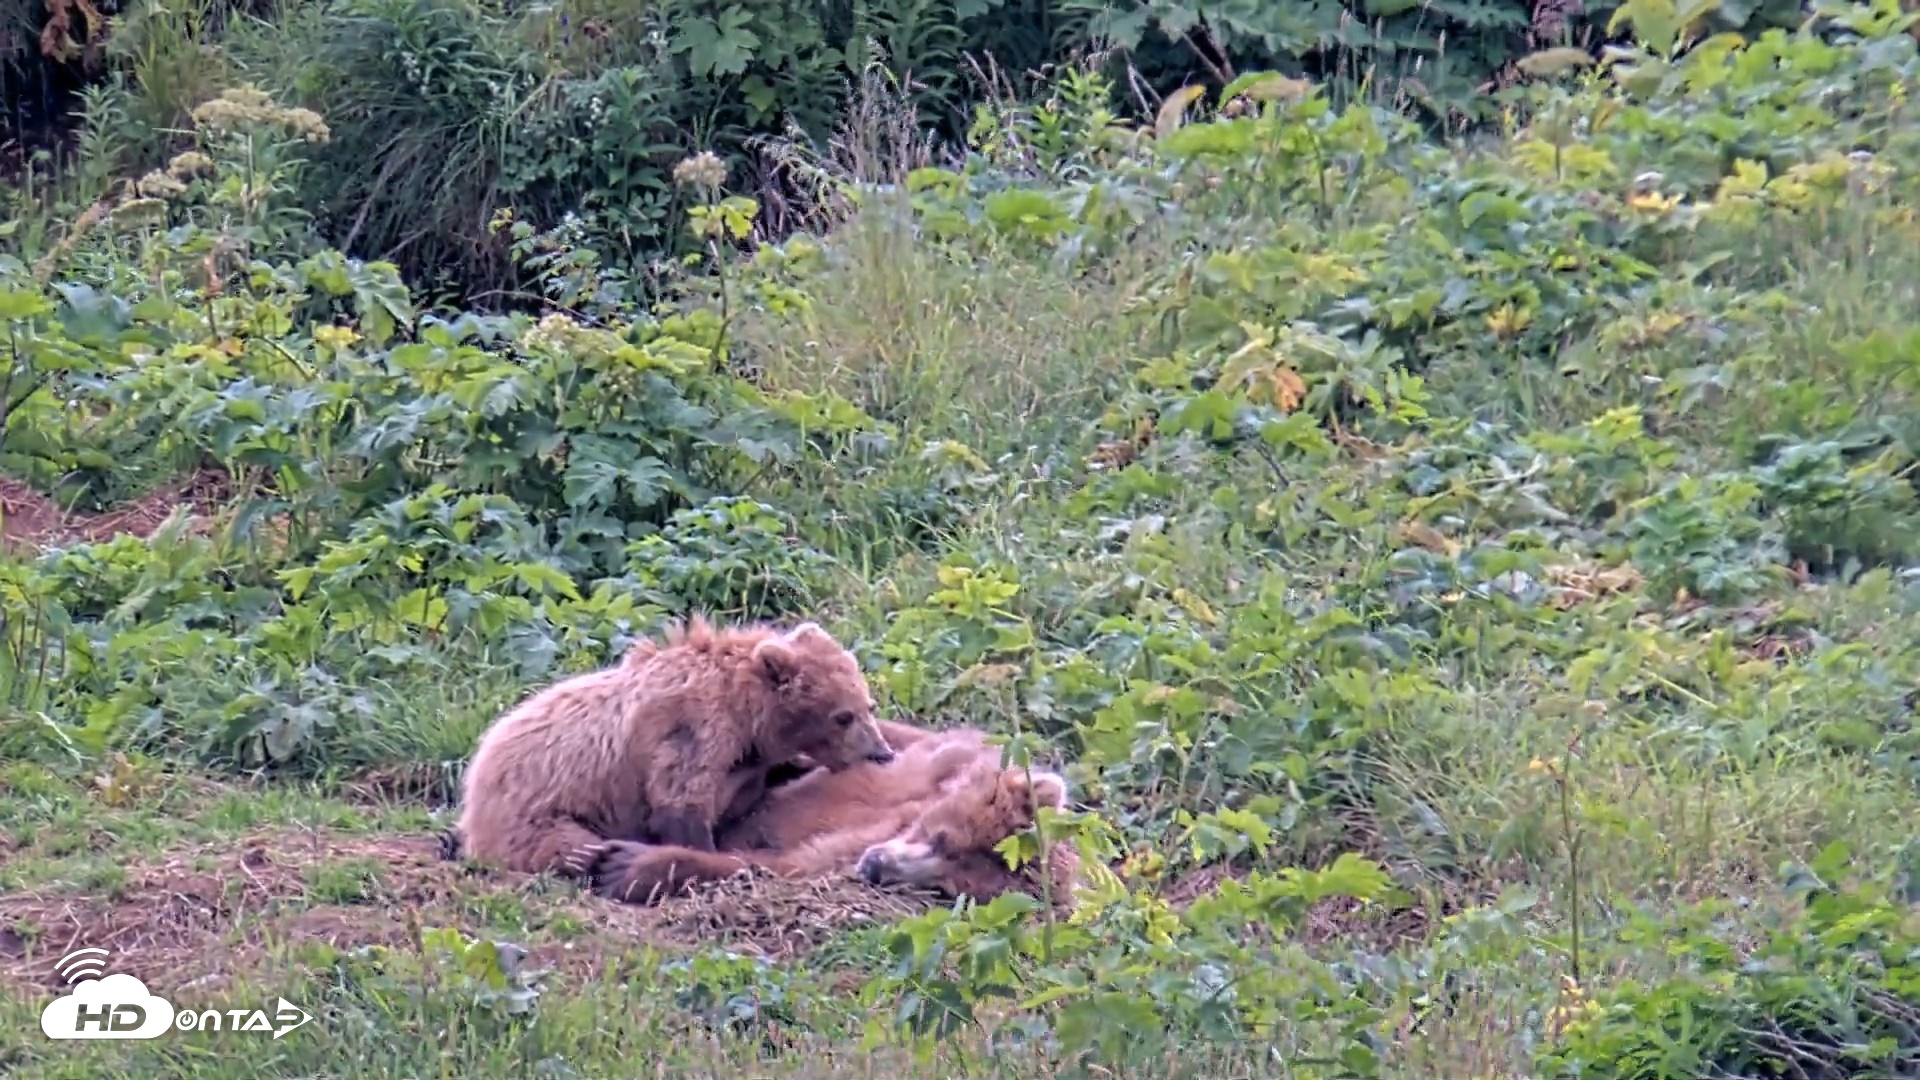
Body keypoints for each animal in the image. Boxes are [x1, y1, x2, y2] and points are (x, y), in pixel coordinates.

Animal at [449, 616, 897, 881]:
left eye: (869, 705)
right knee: (571, 845)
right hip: (534, 816)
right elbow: (681, 801)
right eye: (843, 716)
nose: (881, 753)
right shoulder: (693, 728)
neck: (746, 715)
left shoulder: (743, 763)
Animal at [584, 723, 1081, 908]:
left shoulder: (834, 852)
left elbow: (777, 864)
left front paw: (632, 866)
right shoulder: (930, 759)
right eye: (942, 838)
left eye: (946, 888)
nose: (877, 867)